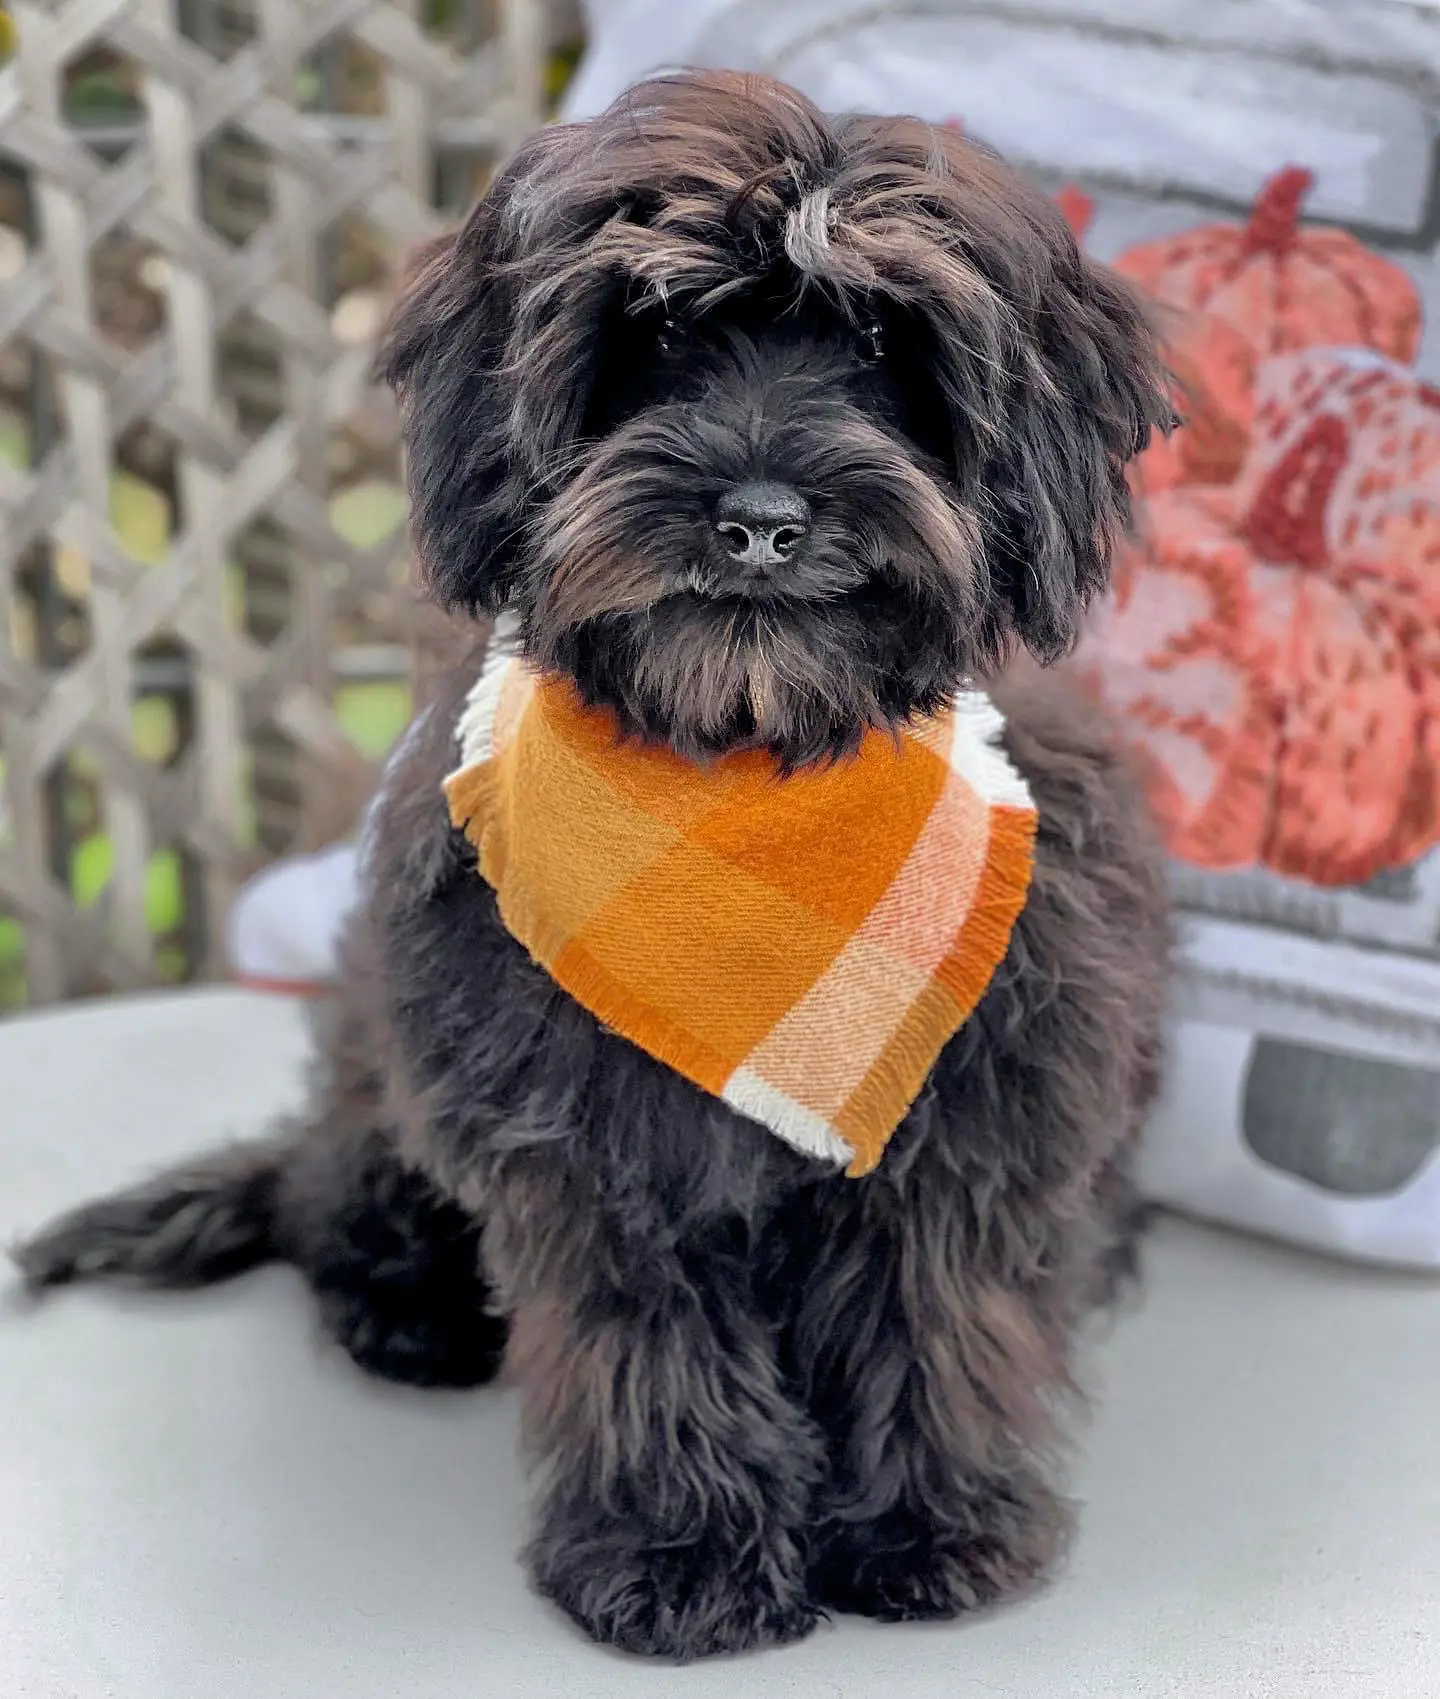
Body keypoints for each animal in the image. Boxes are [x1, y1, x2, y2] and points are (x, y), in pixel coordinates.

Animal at [16, 76, 1175, 1658]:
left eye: (885, 346)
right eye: (662, 334)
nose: (759, 520)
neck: (747, 775)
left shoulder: (975, 1109)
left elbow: (929, 1308)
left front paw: (927, 1524)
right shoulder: (581, 1133)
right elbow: (652, 1333)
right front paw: (683, 1553)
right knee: (329, 1193)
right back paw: (407, 1305)